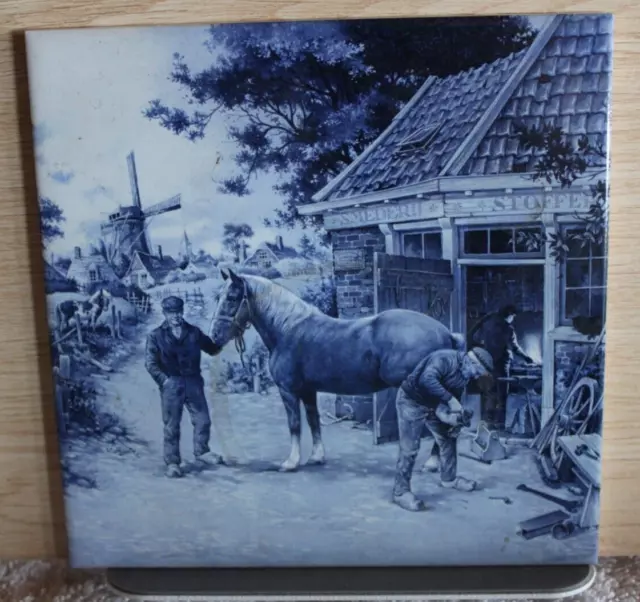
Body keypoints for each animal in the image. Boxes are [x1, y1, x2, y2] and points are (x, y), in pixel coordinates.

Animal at [210, 270, 464, 472]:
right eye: (218, 297)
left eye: (232, 298)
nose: (214, 337)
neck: (287, 328)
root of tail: (445, 333)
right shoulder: (308, 391)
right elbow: (313, 421)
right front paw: (316, 457)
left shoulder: (288, 391)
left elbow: (295, 424)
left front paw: (291, 462)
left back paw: (432, 463)